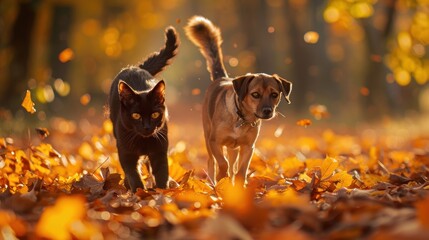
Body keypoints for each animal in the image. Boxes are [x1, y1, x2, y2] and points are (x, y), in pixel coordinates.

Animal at [110, 26, 179, 191]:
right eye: (136, 116)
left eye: (154, 115)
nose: (147, 127)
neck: (143, 141)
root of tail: (134, 68)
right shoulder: (126, 152)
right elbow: (133, 174)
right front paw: (139, 191)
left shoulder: (160, 150)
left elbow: (161, 172)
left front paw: (161, 191)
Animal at [184, 16, 290, 185]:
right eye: (255, 94)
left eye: (274, 94)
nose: (268, 111)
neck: (241, 118)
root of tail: (221, 78)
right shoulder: (215, 142)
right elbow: (222, 163)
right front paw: (222, 177)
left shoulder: (248, 147)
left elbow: (241, 170)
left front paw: (239, 187)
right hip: (208, 138)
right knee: (212, 162)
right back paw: (213, 183)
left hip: (233, 148)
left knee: (233, 164)